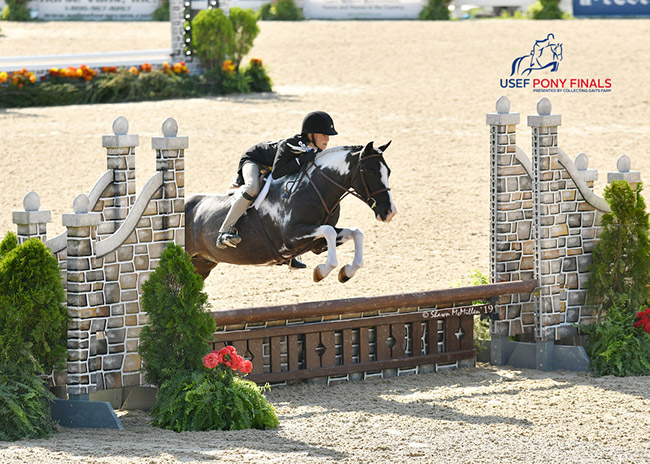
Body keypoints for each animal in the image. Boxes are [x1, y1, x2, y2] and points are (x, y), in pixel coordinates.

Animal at [182, 140, 394, 282]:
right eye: (371, 172)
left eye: (389, 172)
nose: (389, 212)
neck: (313, 188)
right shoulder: (292, 236)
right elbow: (329, 231)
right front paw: (321, 272)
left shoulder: (316, 244)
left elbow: (355, 232)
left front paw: (346, 272)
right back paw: (226, 236)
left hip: (201, 264)